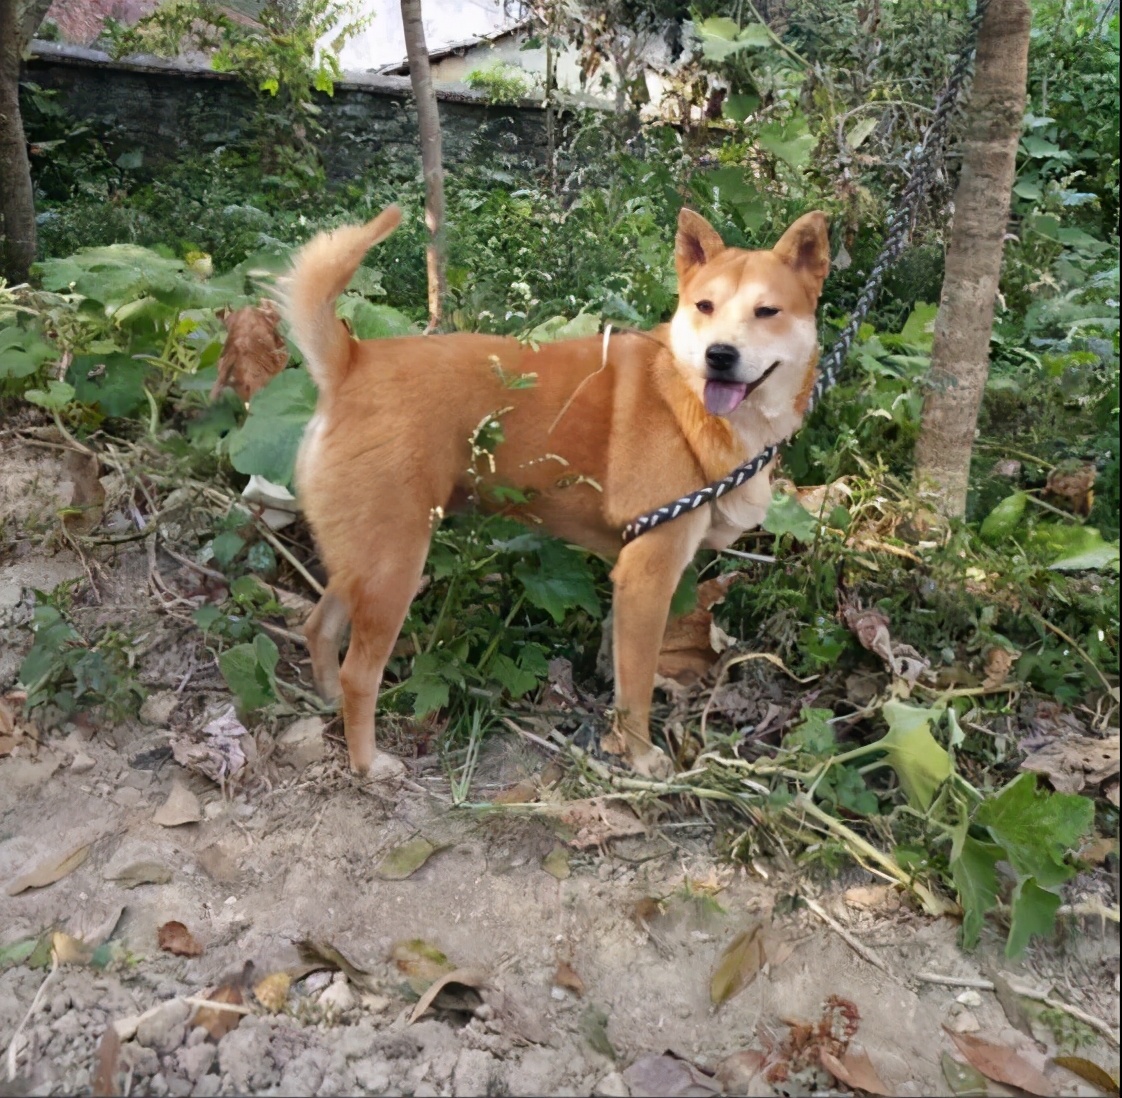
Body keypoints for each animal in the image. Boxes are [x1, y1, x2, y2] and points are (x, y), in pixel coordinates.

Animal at [284, 201, 830, 776]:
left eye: (767, 312)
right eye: (705, 305)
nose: (719, 355)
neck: (683, 396)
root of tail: (351, 360)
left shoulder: (629, 579)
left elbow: (621, 668)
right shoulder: (649, 575)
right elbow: (637, 689)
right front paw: (639, 755)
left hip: (366, 559)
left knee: (318, 628)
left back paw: (326, 702)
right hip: (395, 570)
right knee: (358, 674)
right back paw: (367, 762)